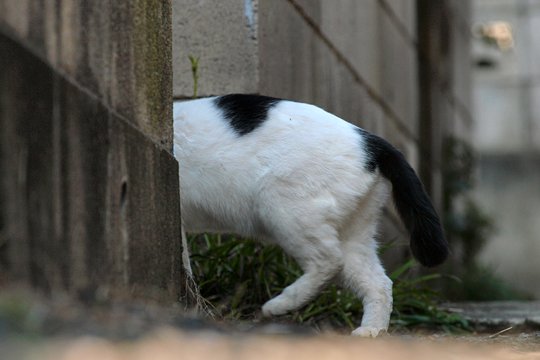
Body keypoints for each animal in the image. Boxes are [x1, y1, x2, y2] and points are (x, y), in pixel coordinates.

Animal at [173, 94, 448, 336]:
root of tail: (372, 142)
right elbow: (185, 259)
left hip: (284, 207)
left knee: (329, 261)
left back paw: (280, 304)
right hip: (354, 232)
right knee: (378, 283)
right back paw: (371, 331)